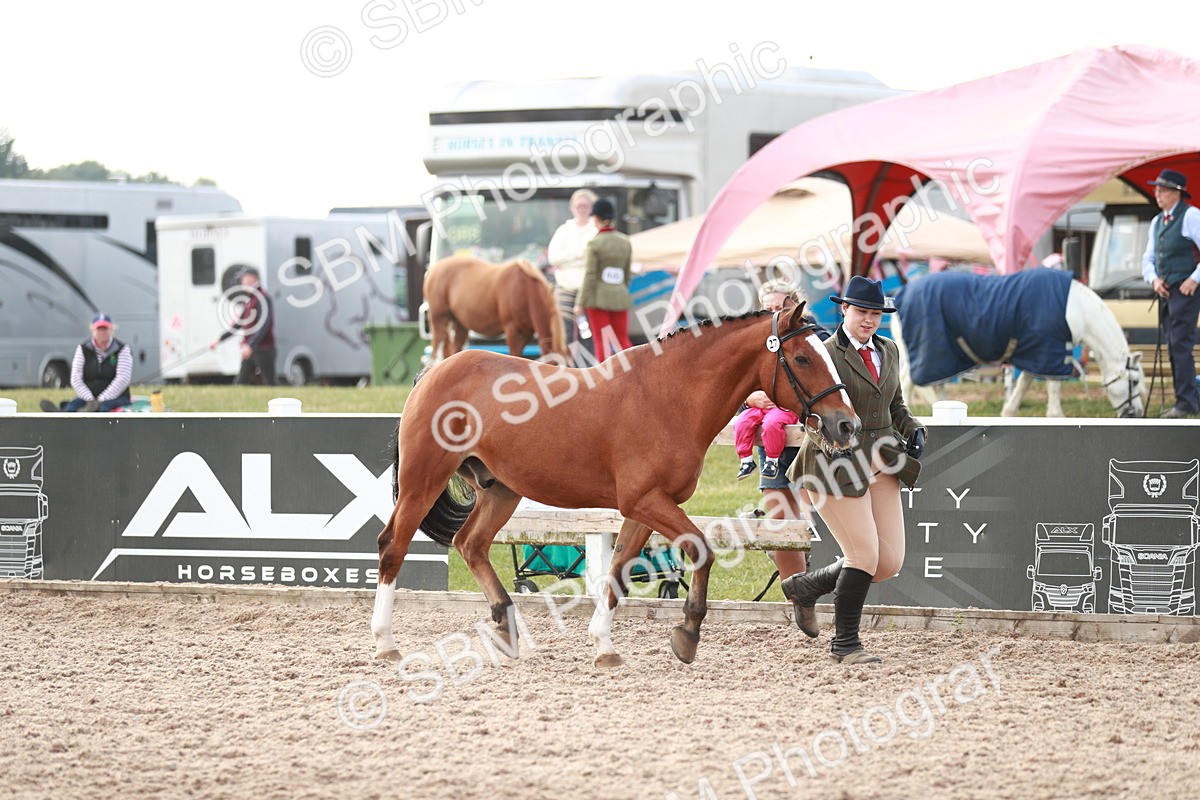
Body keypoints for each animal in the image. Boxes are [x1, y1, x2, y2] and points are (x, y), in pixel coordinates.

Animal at [371, 304, 860, 667]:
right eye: (802, 358)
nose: (847, 424)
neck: (670, 396)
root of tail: (434, 372)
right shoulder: (647, 501)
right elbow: (700, 549)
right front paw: (687, 634)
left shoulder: (644, 508)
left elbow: (619, 571)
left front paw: (604, 647)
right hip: (423, 480)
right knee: (393, 545)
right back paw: (385, 642)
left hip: (501, 490)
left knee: (470, 543)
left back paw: (506, 628)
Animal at [423, 256, 567, 362]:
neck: (524, 289)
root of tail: (433, 269)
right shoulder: (513, 331)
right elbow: (515, 356)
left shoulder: (526, 333)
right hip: (439, 320)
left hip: (459, 325)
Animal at [891, 268, 1147, 417]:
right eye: (1133, 381)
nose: (1136, 414)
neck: (1077, 309)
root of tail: (899, 297)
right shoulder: (1051, 351)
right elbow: (1052, 387)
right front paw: (1056, 416)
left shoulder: (1038, 353)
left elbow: (1024, 382)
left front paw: (1009, 411)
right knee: (907, 383)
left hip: (939, 356)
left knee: (935, 385)